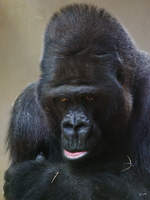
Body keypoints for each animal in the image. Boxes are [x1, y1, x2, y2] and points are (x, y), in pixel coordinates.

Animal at [3, 3, 150, 200]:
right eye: (63, 100)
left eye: (89, 98)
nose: (74, 126)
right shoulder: (25, 118)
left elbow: (141, 191)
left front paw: (39, 181)